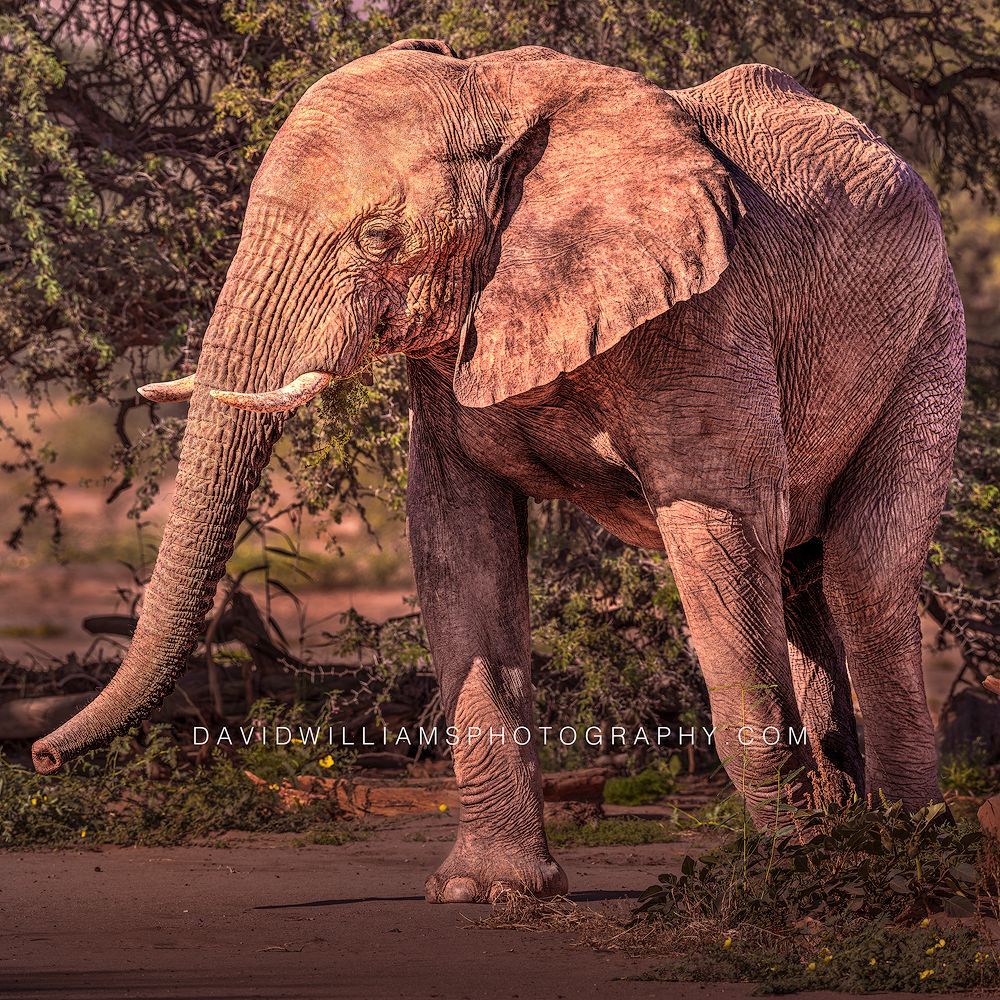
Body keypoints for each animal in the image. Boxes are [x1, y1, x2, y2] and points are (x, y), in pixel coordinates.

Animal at [32, 39, 965, 904]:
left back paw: (905, 851)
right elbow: (460, 541)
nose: (40, 756)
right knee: (803, 576)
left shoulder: (706, 314)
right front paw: (488, 892)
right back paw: (856, 828)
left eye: (378, 238)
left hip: (931, 340)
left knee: (861, 576)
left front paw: (791, 877)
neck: (501, 97)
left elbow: (718, 536)